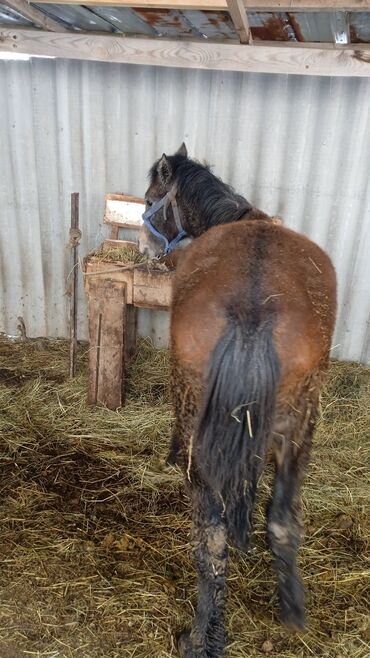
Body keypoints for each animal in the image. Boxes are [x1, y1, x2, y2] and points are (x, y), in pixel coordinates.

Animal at [137, 145, 336, 656]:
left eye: (149, 199)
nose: (145, 251)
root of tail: (251, 314)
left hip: (202, 437)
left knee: (212, 541)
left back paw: (202, 637)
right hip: (298, 433)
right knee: (282, 522)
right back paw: (291, 611)